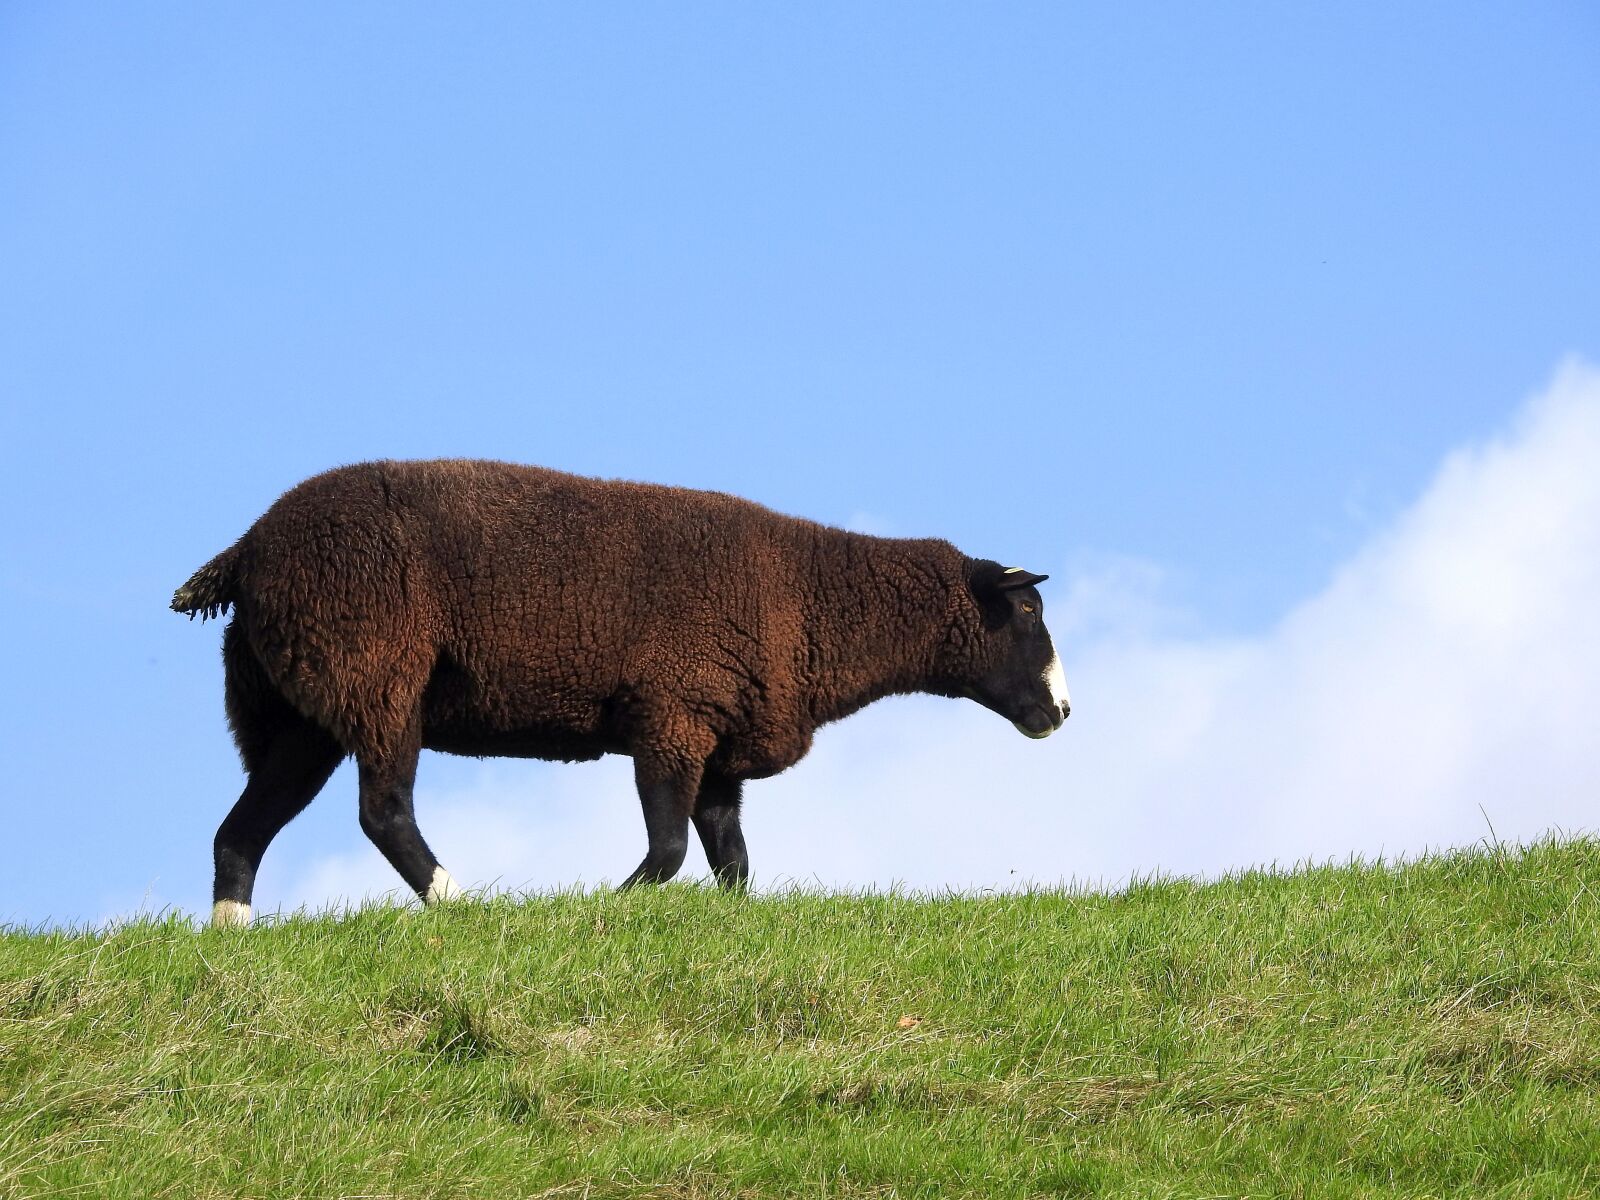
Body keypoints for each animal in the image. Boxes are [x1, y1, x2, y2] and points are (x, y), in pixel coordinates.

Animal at [173, 459, 1071, 927]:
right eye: (1027, 611)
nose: (1061, 712)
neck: (816, 598)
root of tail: (247, 550)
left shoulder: (718, 737)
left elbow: (732, 859)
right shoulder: (671, 713)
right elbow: (670, 851)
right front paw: (610, 906)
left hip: (298, 708)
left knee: (240, 831)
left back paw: (234, 938)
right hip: (377, 673)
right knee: (383, 812)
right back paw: (461, 904)